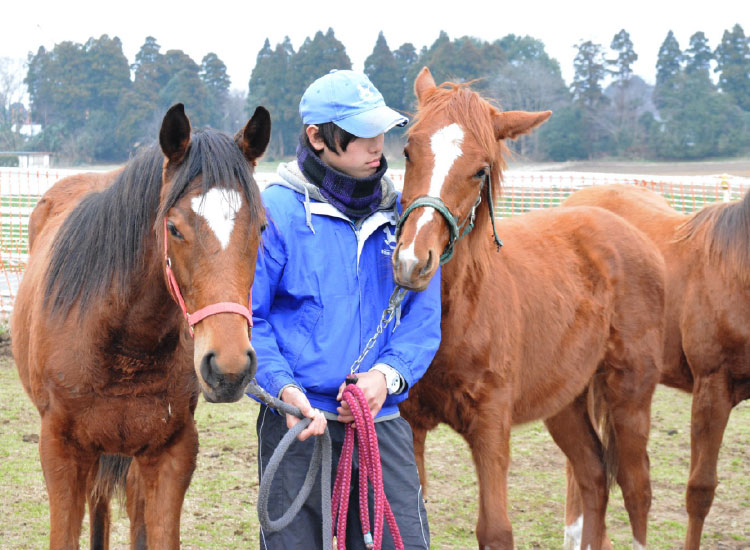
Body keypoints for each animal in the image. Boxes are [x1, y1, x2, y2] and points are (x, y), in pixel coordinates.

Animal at [10, 103, 270, 549]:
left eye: (262, 228)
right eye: (174, 228)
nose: (229, 368)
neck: (124, 343)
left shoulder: (171, 454)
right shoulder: (61, 451)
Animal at [392, 67, 665, 550]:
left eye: (480, 170)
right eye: (408, 151)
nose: (412, 261)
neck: (460, 313)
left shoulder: (491, 426)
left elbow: (496, 530)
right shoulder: (412, 425)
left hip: (629, 396)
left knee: (636, 490)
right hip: (566, 402)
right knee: (594, 475)